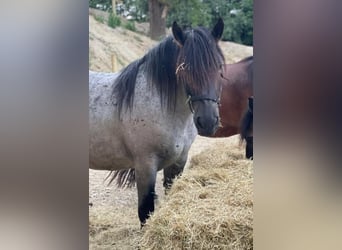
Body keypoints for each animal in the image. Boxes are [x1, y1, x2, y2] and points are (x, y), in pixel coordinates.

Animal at [89, 19, 226, 226]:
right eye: (184, 68)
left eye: (218, 67)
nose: (208, 122)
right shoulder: (145, 166)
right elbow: (145, 211)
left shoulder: (178, 163)